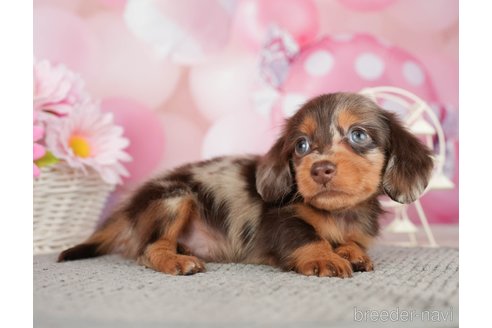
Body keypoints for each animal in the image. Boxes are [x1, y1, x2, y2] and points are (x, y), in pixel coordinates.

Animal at [58, 92, 434, 276]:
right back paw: (176, 261)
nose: (321, 169)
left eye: (359, 135)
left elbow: (352, 243)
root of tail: (130, 207)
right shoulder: (279, 220)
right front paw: (324, 257)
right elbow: (306, 235)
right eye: (301, 145)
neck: (338, 214)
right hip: (176, 197)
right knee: (150, 249)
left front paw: (351, 252)